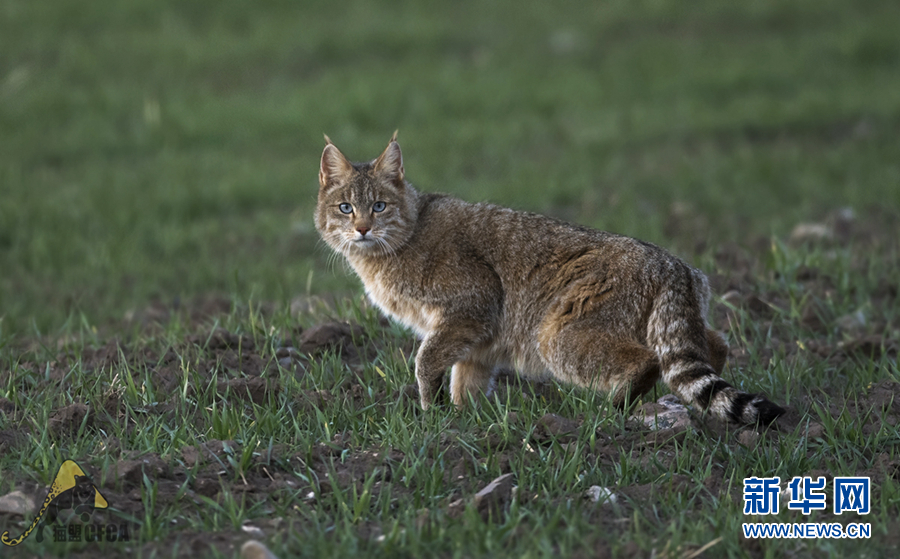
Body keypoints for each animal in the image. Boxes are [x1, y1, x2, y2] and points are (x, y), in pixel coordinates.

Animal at [315, 132, 785, 425]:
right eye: (345, 208)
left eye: (378, 206)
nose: (362, 228)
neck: (401, 239)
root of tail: (673, 263)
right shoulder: (476, 337)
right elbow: (465, 380)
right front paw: (465, 421)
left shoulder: (472, 304)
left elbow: (427, 360)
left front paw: (433, 415)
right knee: (713, 347)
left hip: (557, 337)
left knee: (648, 360)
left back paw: (615, 409)